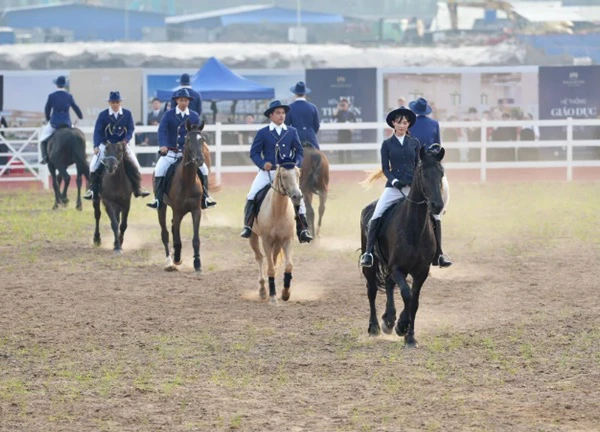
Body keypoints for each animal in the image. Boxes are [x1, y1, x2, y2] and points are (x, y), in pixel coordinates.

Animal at [250, 165, 304, 304]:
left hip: (278, 243)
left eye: (298, 174)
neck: (278, 210)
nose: (297, 196)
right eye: (284, 176)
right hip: (253, 237)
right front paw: (273, 297)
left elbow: (288, 266)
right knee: (260, 258)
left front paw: (285, 293)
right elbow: (270, 268)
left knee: (273, 260)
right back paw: (263, 290)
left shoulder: (287, 240)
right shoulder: (266, 241)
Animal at [360, 148, 446, 348]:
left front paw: (409, 336)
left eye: (441, 173)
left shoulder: (421, 271)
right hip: (371, 264)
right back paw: (375, 327)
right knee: (372, 290)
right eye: (423, 174)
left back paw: (389, 320)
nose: (437, 206)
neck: (414, 228)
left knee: (389, 284)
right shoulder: (398, 268)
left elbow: (414, 301)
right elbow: (406, 294)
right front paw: (402, 326)